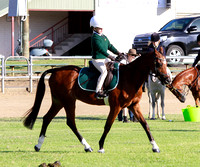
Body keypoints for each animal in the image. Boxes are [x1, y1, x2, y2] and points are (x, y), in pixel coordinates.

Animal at [23, 49, 170, 153]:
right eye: (159, 63)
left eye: (166, 63)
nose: (168, 80)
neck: (130, 77)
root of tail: (56, 70)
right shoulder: (116, 106)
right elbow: (108, 126)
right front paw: (101, 146)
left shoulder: (134, 106)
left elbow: (145, 125)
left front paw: (155, 147)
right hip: (68, 101)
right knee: (70, 122)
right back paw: (87, 146)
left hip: (58, 102)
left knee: (47, 118)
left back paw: (38, 145)